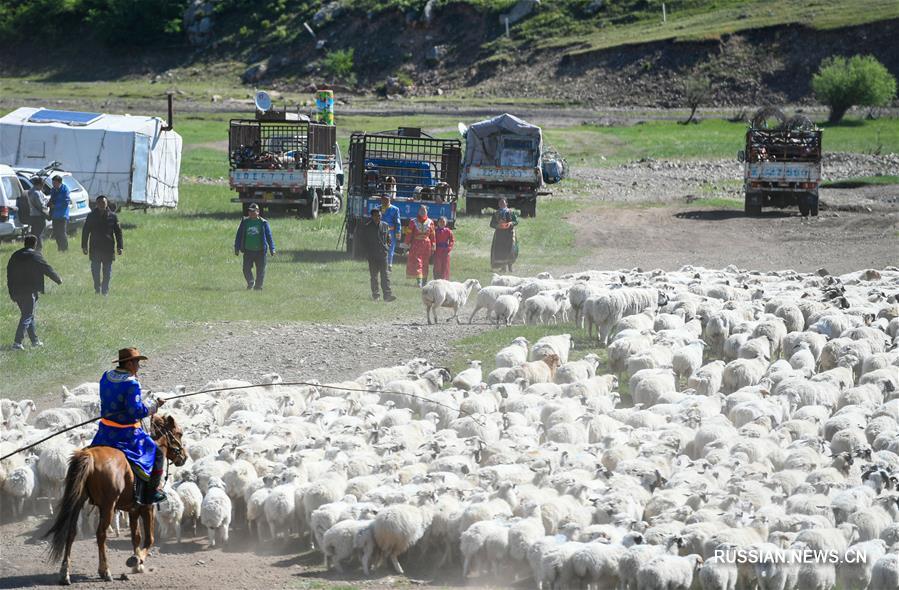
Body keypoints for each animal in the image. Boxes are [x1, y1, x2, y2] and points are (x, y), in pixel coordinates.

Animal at [45, 416, 188, 588]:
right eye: (179, 433)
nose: (184, 457)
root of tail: (89, 456)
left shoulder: (133, 508)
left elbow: (136, 536)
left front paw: (137, 564)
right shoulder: (147, 506)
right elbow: (149, 538)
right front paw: (137, 559)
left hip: (78, 501)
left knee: (71, 532)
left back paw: (64, 573)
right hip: (108, 506)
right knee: (101, 534)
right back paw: (105, 571)